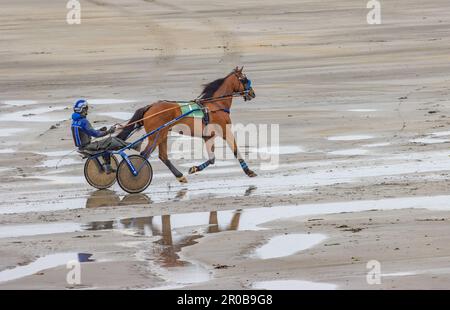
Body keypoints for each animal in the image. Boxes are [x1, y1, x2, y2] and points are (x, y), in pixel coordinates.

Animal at [116, 66, 256, 183]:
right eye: (244, 79)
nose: (252, 93)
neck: (216, 105)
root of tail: (150, 107)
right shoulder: (225, 131)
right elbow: (236, 150)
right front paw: (249, 171)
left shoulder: (208, 136)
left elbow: (212, 159)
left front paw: (194, 168)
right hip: (156, 135)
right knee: (144, 154)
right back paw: (135, 175)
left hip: (163, 134)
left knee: (163, 156)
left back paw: (180, 176)